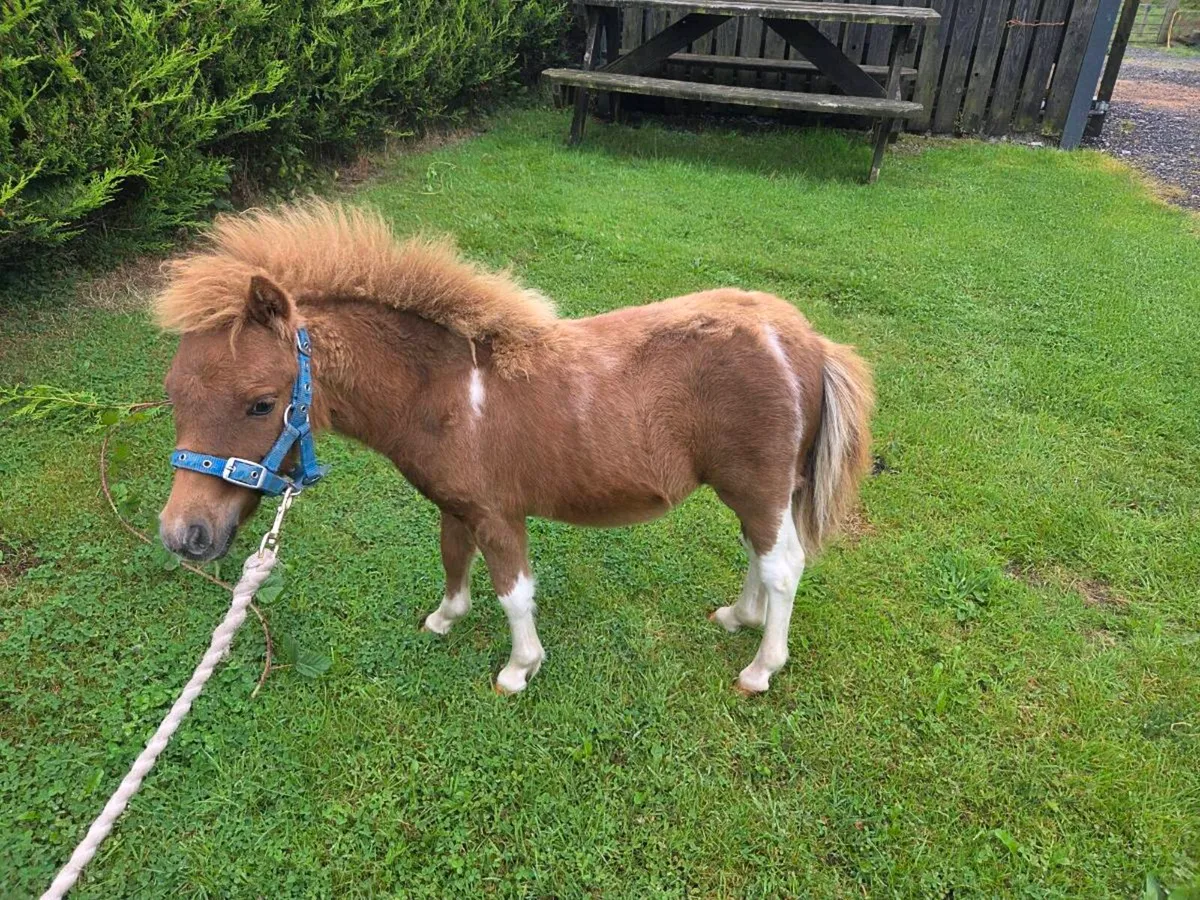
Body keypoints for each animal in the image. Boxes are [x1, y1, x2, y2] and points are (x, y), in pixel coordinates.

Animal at [155, 202, 874, 695]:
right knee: (759, 551)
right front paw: (445, 619)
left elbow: (514, 592)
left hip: (761, 484)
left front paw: (518, 669)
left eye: (259, 403)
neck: (447, 390)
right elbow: (454, 561)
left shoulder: (501, 514)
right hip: (751, 489)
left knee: (783, 565)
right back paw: (738, 617)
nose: (183, 535)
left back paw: (759, 667)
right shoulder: (456, 505)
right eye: (173, 396)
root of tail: (807, 342)